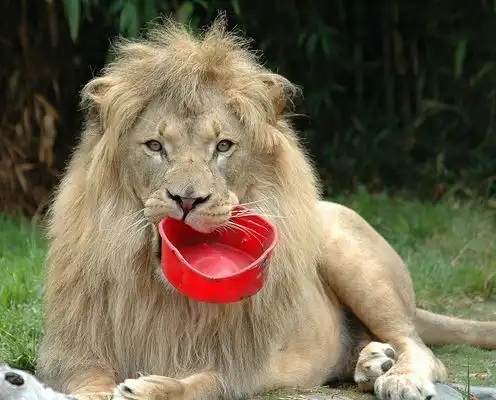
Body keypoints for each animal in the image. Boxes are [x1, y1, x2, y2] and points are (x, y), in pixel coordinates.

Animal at [36, 16, 496, 400]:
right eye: (155, 146)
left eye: (223, 146)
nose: (187, 200)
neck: (164, 292)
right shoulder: (69, 350)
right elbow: (87, 380)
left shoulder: (243, 365)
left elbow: (203, 383)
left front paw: (150, 388)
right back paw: (372, 362)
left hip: (347, 251)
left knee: (418, 345)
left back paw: (398, 376)